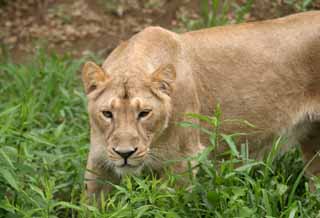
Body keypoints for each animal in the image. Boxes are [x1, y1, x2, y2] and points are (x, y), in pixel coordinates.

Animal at [82, 11, 320, 197]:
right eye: (107, 113)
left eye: (144, 113)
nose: (125, 153)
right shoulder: (99, 158)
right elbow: (90, 202)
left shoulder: (182, 160)